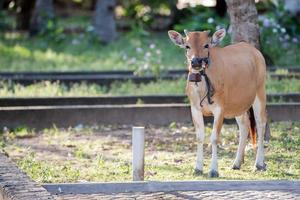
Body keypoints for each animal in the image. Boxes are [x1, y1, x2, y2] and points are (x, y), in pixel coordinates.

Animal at [168, 28, 268, 177]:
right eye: (187, 46)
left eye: (206, 45)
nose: (196, 62)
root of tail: (255, 52)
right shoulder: (195, 109)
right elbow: (199, 137)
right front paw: (198, 168)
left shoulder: (219, 109)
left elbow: (214, 138)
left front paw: (214, 170)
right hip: (238, 104)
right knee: (244, 125)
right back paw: (236, 163)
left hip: (260, 93)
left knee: (261, 124)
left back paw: (259, 164)